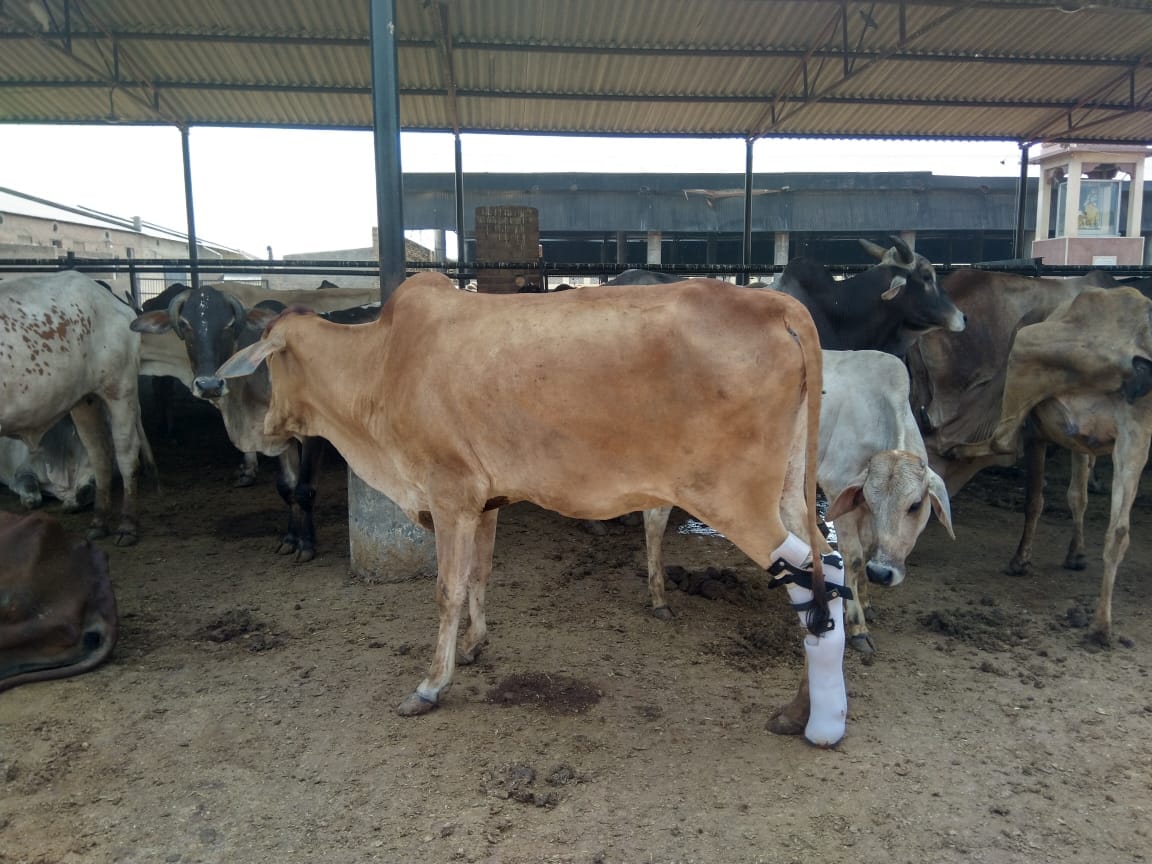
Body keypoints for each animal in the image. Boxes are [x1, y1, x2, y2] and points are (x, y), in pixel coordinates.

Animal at [0, 271, 153, 544]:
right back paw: (99, 522)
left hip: (119, 389)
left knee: (126, 455)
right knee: (100, 455)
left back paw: (127, 526)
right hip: (84, 400)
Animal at [217, 271, 852, 747]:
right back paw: (805, 712)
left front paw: (431, 684)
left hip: (734, 496)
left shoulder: (449, 493)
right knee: (827, 570)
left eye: (266, 362)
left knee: (805, 576)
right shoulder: (484, 500)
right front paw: (475, 646)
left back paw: (818, 719)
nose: (259, 431)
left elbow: (447, 590)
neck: (382, 365)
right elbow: (480, 574)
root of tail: (774, 302)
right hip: (788, 490)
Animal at [640, 350, 954, 654]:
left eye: (915, 505)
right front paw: (857, 626)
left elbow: (866, 551)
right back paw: (659, 599)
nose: (882, 573)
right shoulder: (836, 485)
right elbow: (853, 558)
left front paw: (866, 603)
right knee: (655, 518)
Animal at [909, 271, 1152, 645]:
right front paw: (1075, 554)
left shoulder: (1037, 431)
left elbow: (1035, 498)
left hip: (1026, 349)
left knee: (1004, 441)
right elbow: (1076, 496)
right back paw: (1100, 626)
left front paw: (1022, 559)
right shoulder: (1079, 440)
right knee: (1119, 530)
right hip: (1135, 430)